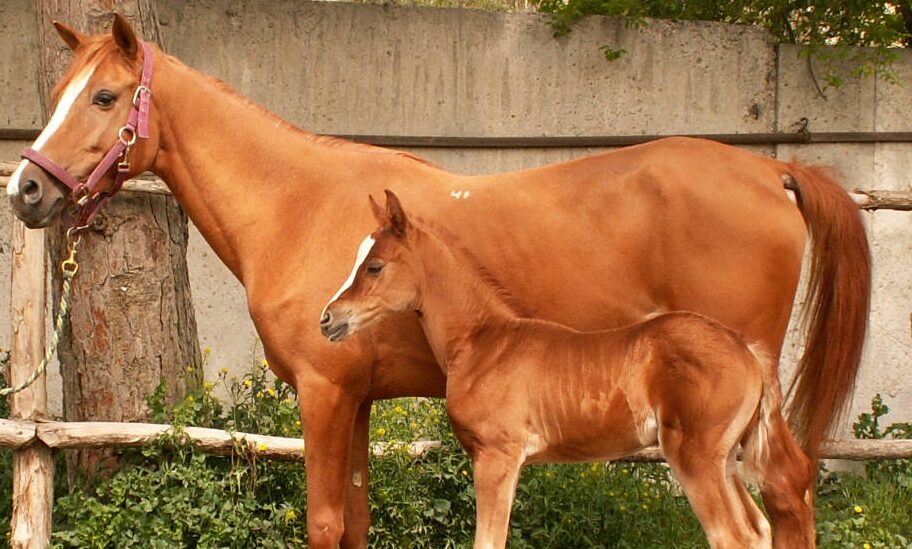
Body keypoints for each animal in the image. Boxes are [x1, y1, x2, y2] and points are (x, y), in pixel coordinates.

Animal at [322, 189, 804, 548]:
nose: (327, 318)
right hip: (725, 460)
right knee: (759, 531)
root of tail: (746, 350)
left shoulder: (496, 457)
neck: (484, 342)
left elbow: (489, 541)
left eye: (374, 266)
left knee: (732, 536)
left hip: (695, 458)